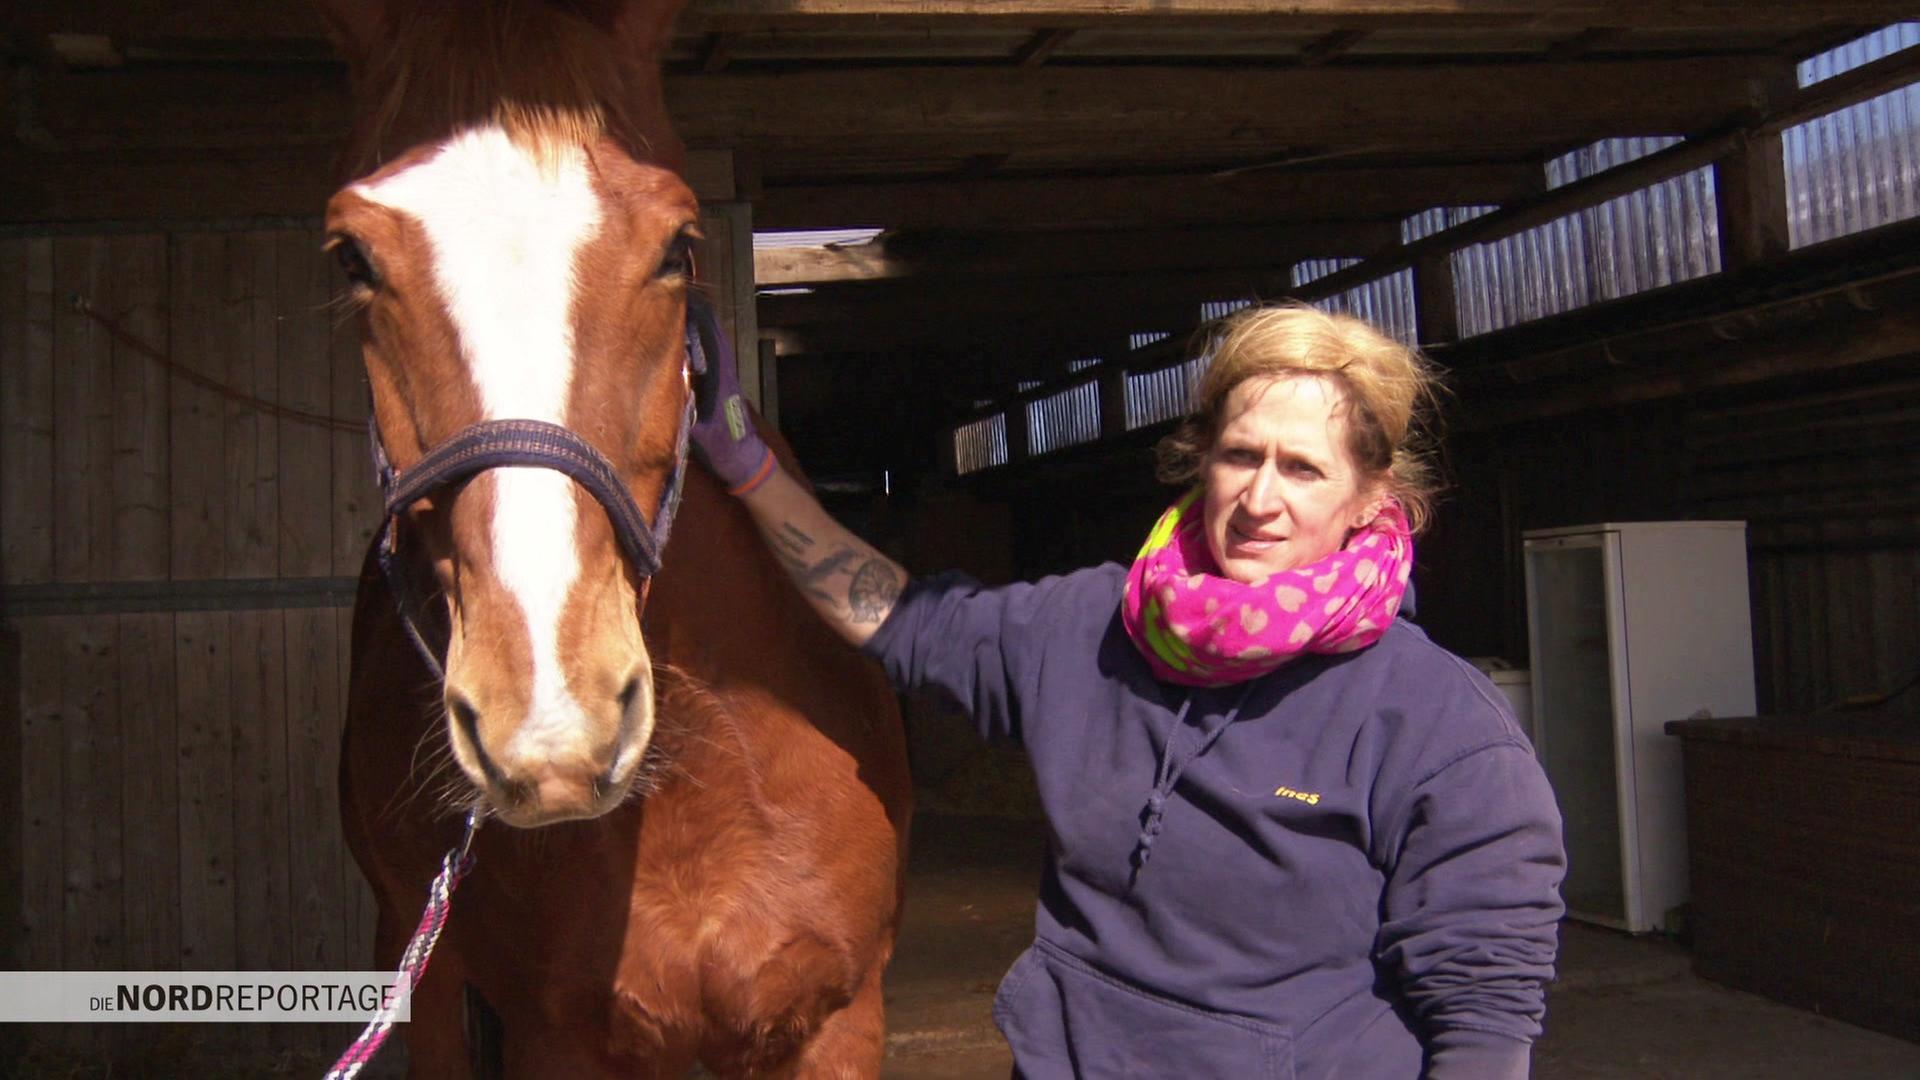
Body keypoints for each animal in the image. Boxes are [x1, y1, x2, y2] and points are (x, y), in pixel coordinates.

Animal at [314, 1, 912, 1074]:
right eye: (353, 258)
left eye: (678, 243)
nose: (553, 713)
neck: (705, 783)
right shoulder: (556, 1035)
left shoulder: (839, 1018)